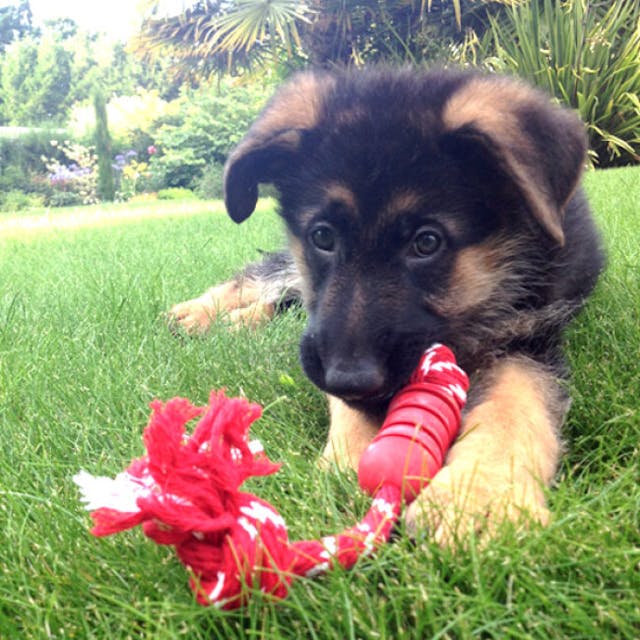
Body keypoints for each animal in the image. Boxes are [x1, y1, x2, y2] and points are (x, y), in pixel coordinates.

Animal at [169, 69, 600, 540]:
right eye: (322, 236)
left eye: (426, 242)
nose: (350, 379)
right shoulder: (323, 337)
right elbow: (336, 390)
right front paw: (347, 457)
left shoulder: (532, 334)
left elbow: (514, 402)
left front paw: (480, 497)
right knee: (271, 278)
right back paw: (201, 313)